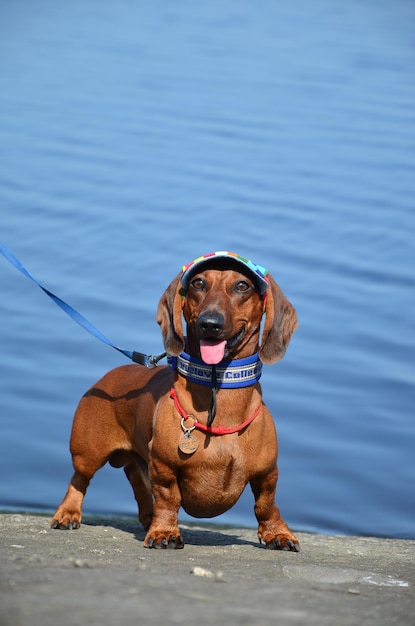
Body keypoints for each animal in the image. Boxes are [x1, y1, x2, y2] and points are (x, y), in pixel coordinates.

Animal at [51, 251, 300, 548]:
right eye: (198, 283)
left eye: (242, 285)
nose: (210, 323)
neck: (218, 390)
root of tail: (109, 376)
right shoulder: (163, 466)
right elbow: (169, 499)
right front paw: (164, 532)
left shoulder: (268, 473)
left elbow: (266, 503)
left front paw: (277, 533)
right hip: (88, 453)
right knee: (79, 480)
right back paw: (68, 513)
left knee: (136, 481)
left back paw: (147, 516)